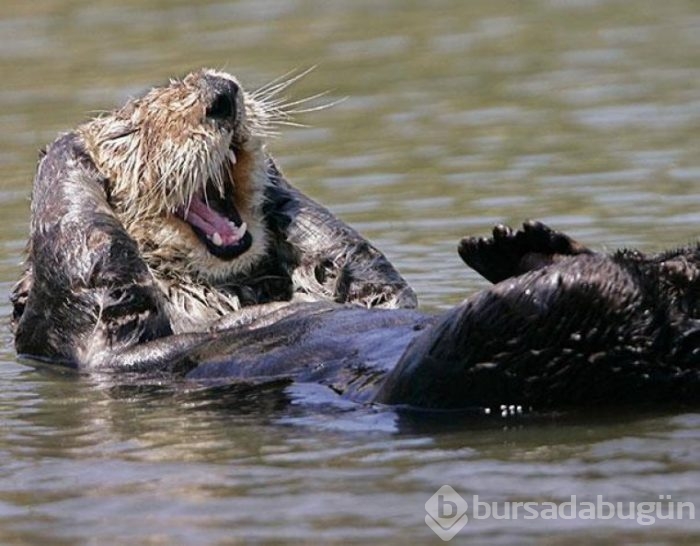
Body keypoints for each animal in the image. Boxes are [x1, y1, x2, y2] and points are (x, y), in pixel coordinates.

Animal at [9, 68, 700, 408]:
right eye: (132, 132)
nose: (222, 95)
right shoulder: (89, 337)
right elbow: (88, 266)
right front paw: (66, 151)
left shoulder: (366, 283)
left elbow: (362, 271)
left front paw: (279, 188)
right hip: (479, 362)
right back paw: (553, 266)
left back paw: (523, 246)